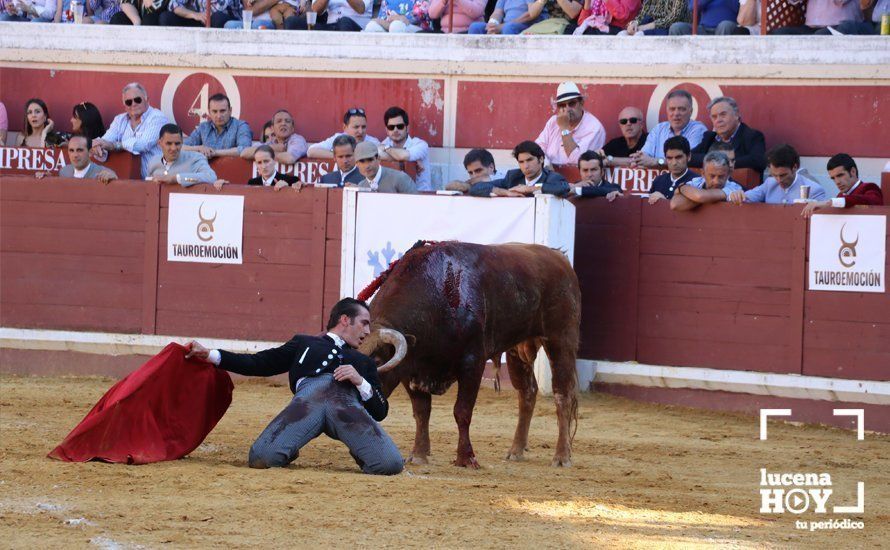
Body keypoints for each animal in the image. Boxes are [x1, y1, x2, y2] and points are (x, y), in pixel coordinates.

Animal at [358, 242, 580, 470]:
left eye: (377, 361)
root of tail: (558, 256)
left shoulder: (473, 364)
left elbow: (462, 411)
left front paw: (466, 458)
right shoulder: (408, 370)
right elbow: (421, 411)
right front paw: (419, 454)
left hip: (560, 339)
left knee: (562, 394)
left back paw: (562, 457)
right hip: (516, 351)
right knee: (527, 392)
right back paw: (516, 450)